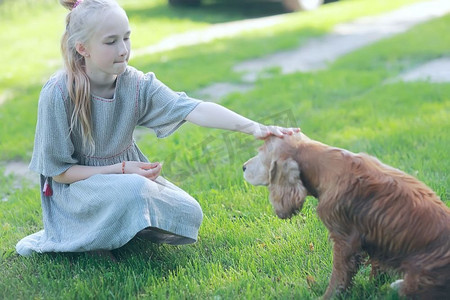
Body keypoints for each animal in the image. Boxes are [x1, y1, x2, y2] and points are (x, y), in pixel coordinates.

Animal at [243, 132, 450, 298]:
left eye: (261, 153)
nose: (243, 167)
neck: (323, 167)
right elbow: (376, 267)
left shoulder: (344, 241)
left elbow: (338, 277)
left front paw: (328, 297)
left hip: (417, 279)